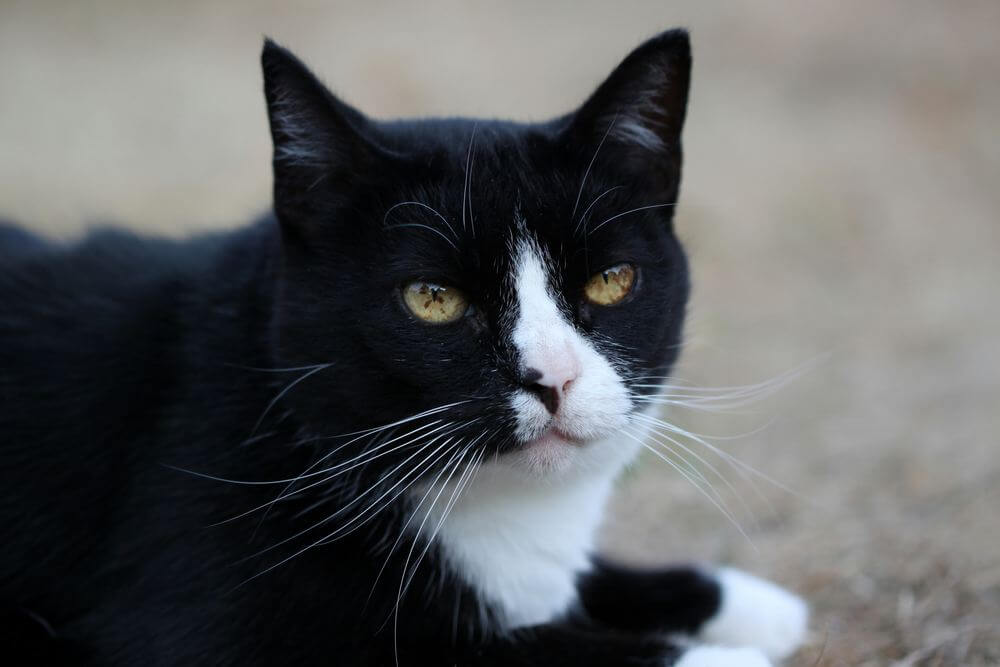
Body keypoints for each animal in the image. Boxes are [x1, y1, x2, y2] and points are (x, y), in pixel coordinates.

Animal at [0, 30, 808, 664]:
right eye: (432, 298)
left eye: (611, 281)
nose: (552, 378)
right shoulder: (194, 609)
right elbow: (477, 647)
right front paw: (719, 654)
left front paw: (739, 601)